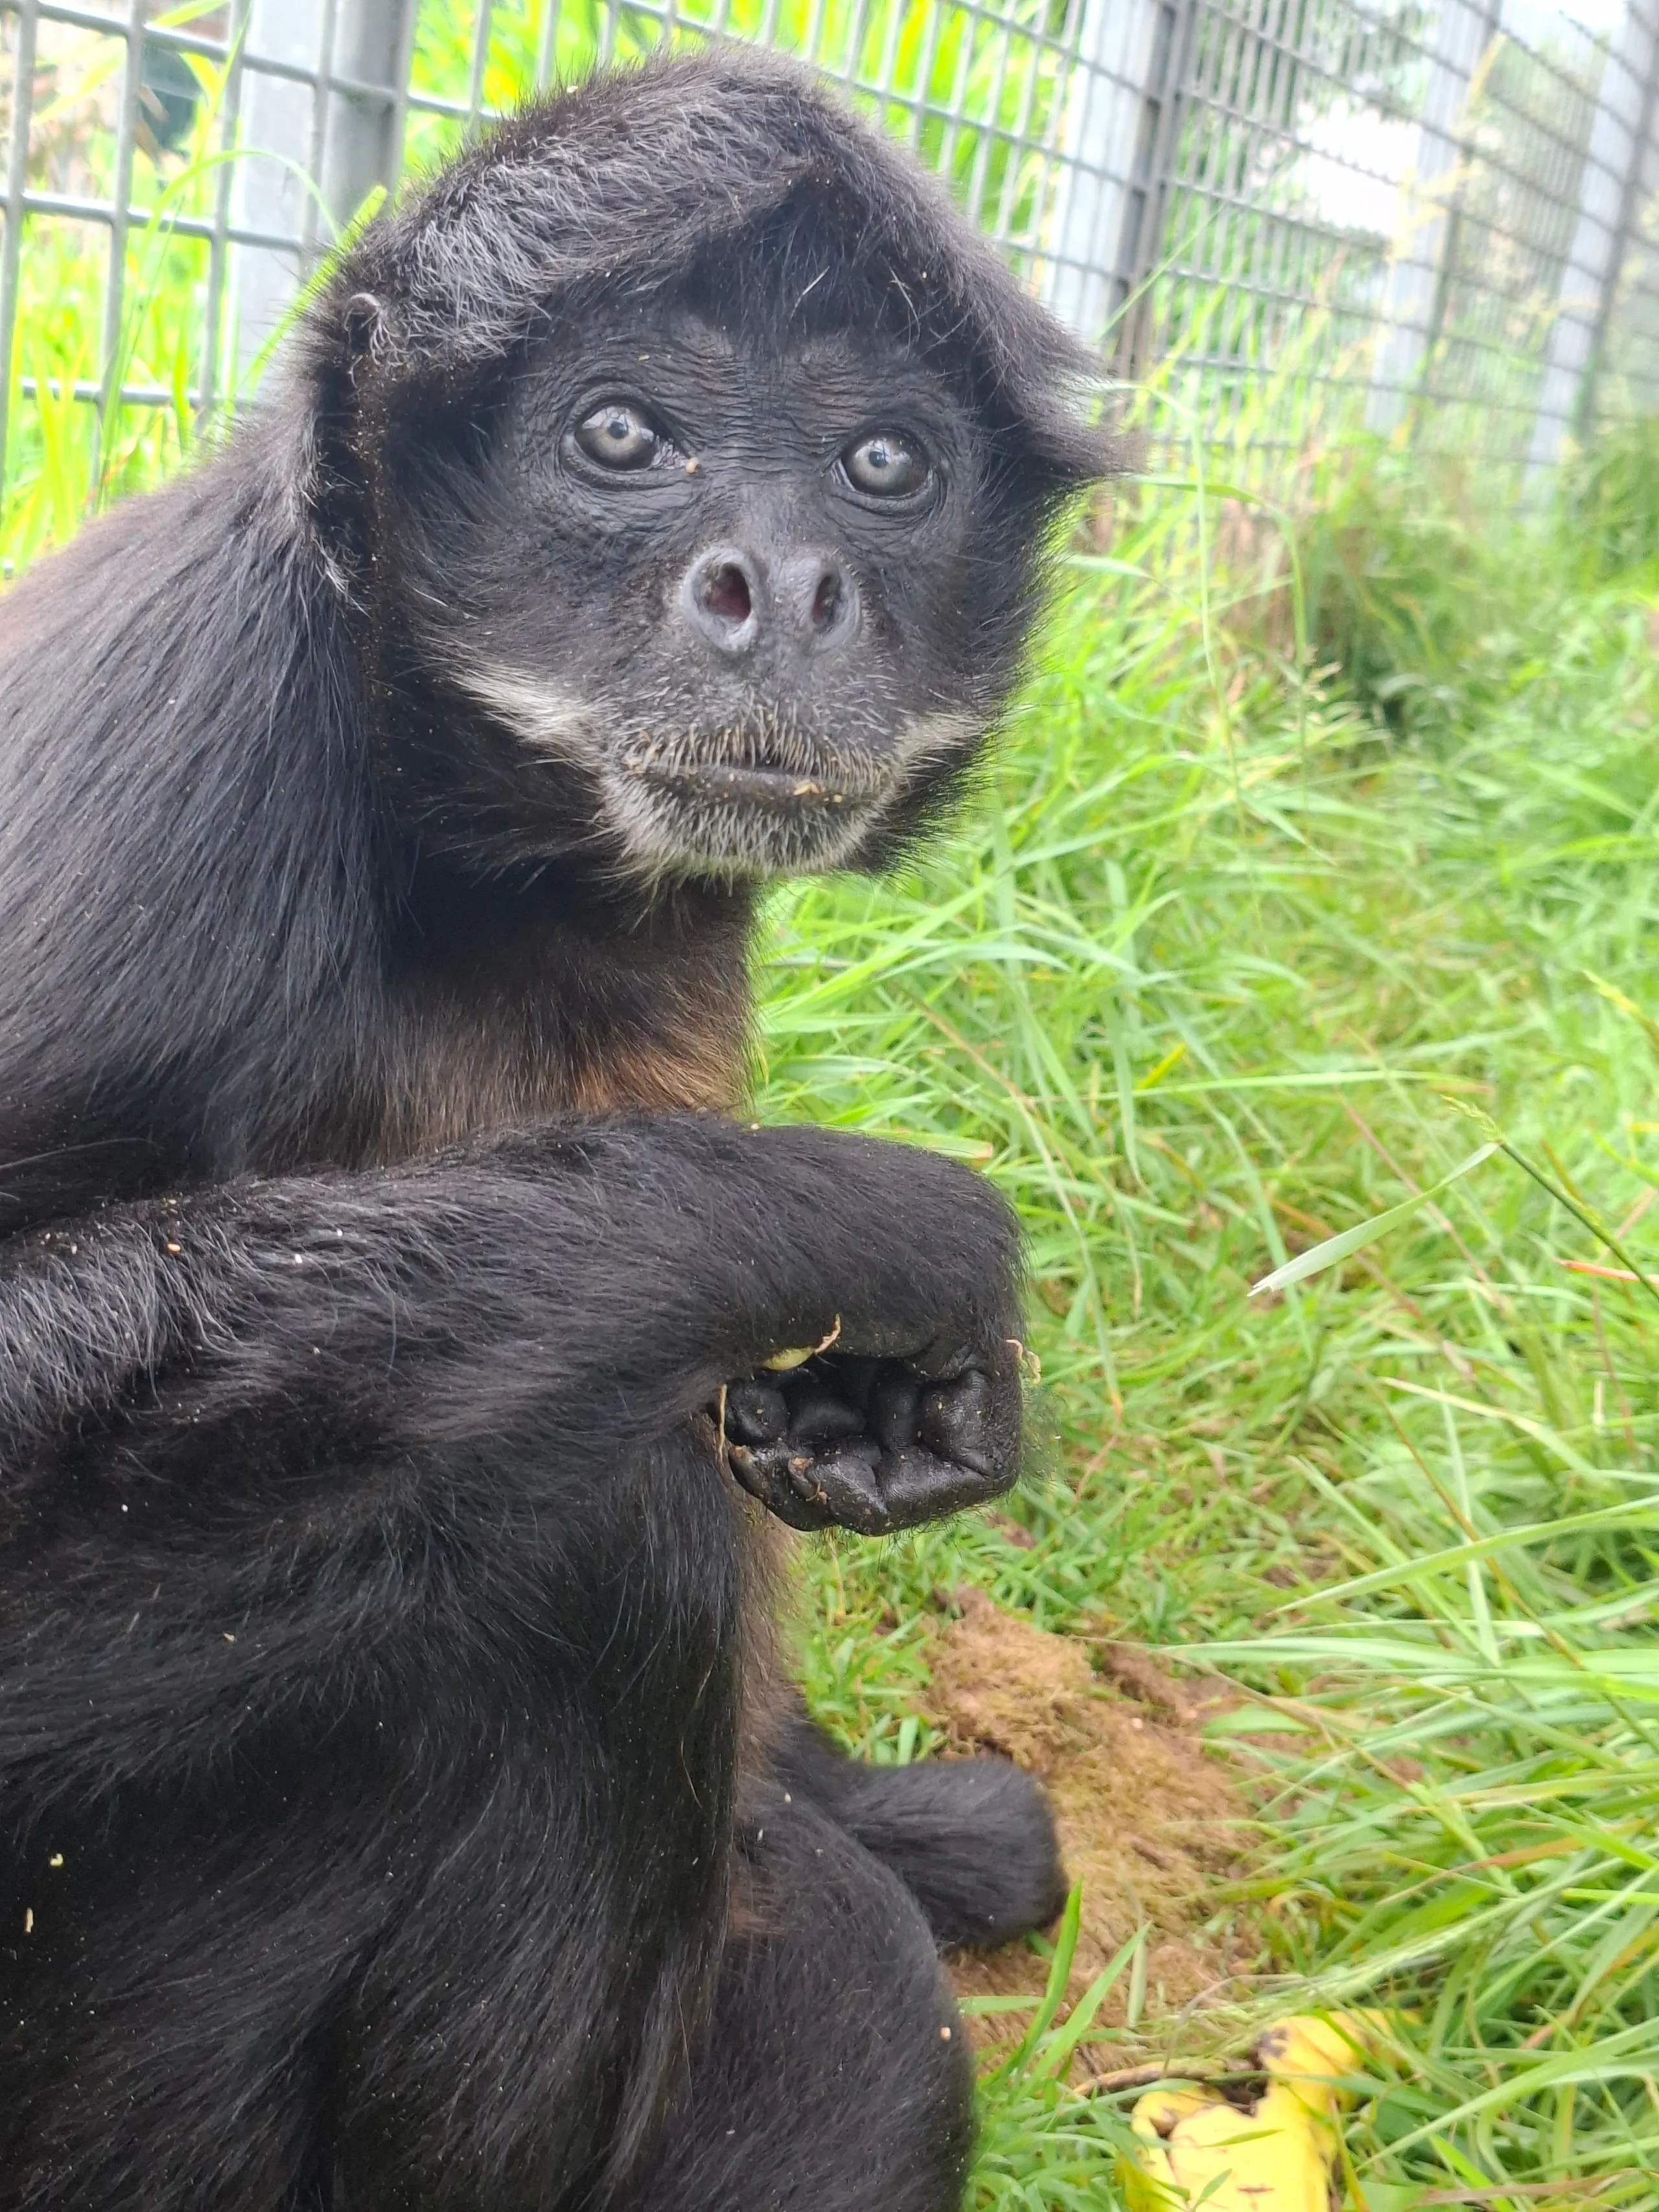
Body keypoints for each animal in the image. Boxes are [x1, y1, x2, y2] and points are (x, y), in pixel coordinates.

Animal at [0, 49, 1109, 2212]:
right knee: (610, 1524)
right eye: (620, 437)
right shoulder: (175, 719)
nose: (785, 585)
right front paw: (886, 1240)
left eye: (884, 465)